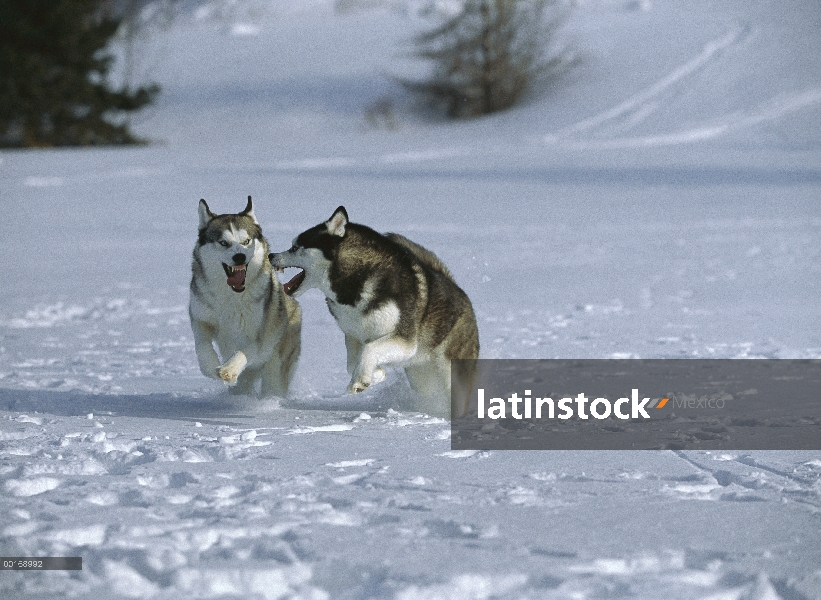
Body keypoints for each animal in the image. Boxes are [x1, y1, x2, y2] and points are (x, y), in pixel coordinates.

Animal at [189, 195, 302, 396]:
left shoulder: (258, 337)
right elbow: (202, 346)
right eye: (223, 243)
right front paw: (210, 367)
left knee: (273, 385)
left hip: (276, 367)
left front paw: (228, 370)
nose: (240, 257)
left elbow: (244, 351)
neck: (230, 296)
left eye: (247, 241)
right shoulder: (201, 319)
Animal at [270, 207, 478, 418]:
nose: (271, 255)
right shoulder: (354, 334)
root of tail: (461, 292)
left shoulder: (405, 340)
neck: (356, 281)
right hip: (421, 375)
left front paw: (360, 380)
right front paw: (376, 374)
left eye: (295, 247)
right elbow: (353, 361)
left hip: (451, 371)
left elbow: (369, 350)